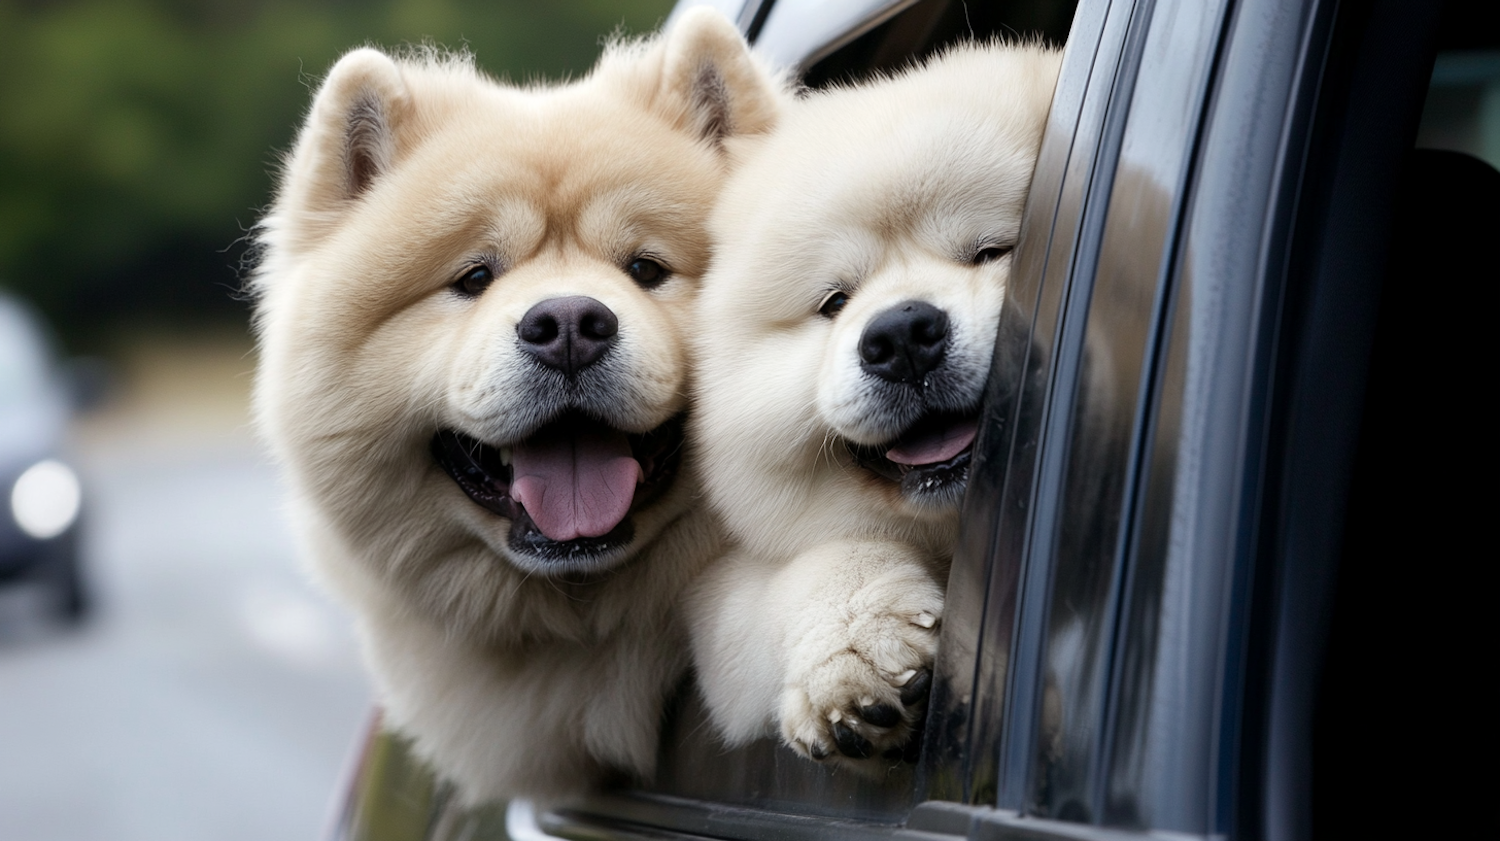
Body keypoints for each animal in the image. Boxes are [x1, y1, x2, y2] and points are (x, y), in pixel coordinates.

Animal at [687, 44, 1062, 767]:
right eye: (835, 301)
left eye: (992, 251)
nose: (902, 336)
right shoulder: (719, 593)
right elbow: (817, 565)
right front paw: (854, 656)